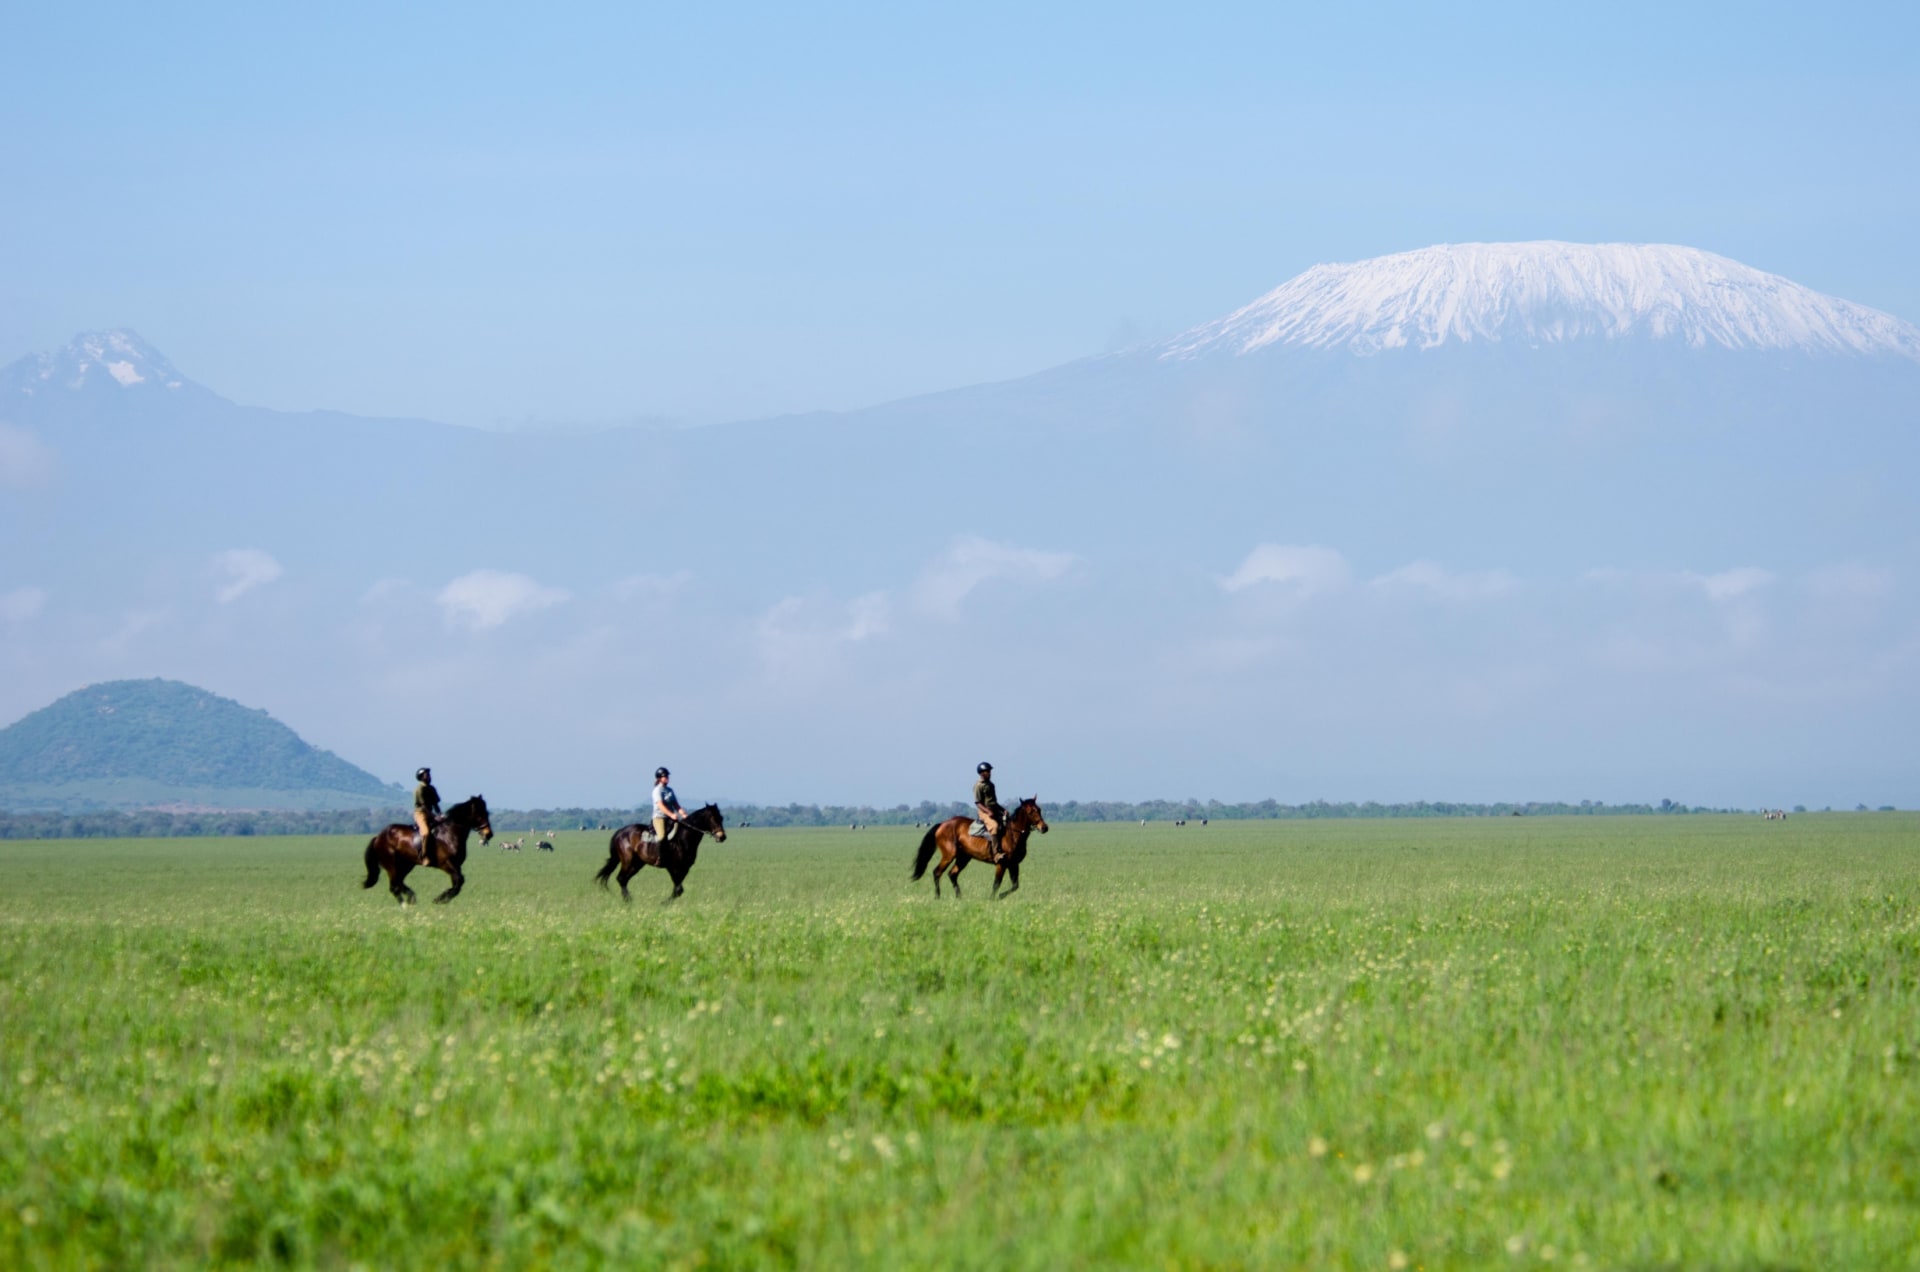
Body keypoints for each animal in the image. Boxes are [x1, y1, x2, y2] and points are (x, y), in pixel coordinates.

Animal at [591, 807, 725, 906]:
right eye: (713, 818)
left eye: (721, 818)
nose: (722, 837)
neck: (684, 837)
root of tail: (621, 831)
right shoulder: (674, 868)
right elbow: (678, 889)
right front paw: (663, 903)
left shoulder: (684, 868)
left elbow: (678, 889)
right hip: (628, 861)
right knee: (621, 878)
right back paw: (629, 901)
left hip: (637, 864)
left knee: (624, 879)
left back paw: (629, 901)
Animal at [910, 803, 1052, 903]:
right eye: (1031, 812)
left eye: (1039, 810)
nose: (1044, 827)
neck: (1013, 834)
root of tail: (942, 824)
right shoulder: (1001, 864)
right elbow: (996, 883)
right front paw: (994, 898)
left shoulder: (1013, 864)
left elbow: (1015, 885)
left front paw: (1000, 896)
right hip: (949, 855)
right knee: (937, 872)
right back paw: (937, 897)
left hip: (964, 858)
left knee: (952, 874)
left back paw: (959, 897)